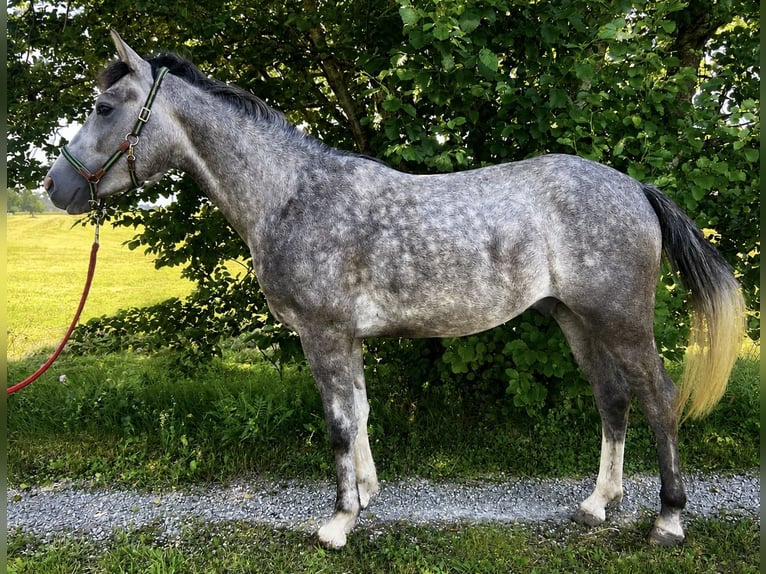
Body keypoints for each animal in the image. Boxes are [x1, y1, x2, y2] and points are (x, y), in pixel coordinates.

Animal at [44, 31, 745, 549]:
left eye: (105, 107)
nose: (57, 187)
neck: (292, 195)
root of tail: (635, 189)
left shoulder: (323, 335)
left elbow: (337, 425)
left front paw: (337, 524)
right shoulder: (346, 339)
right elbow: (359, 414)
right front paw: (366, 496)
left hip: (621, 318)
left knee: (657, 399)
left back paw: (668, 519)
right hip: (575, 319)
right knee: (613, 399)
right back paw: (598, 504)